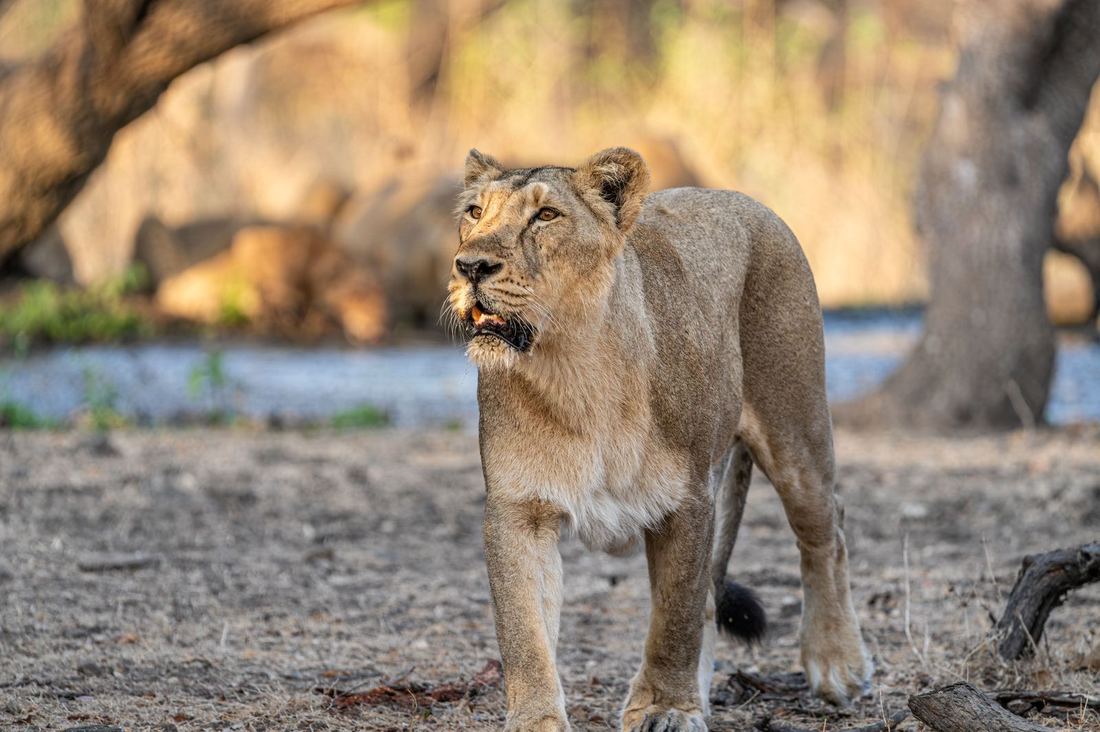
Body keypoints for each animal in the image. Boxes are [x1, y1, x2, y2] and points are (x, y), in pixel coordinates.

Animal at [446, 148, 872, 731]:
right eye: (473, 212)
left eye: (546, 216)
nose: (470, 266)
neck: (576, 370)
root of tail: (741, 199)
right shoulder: (518, 510)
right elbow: (524, 633)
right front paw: (536, 721)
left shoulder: (686, 501)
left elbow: (675, 615)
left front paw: (666, 708)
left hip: (795, 428)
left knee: (826, 530)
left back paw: (836, 662)